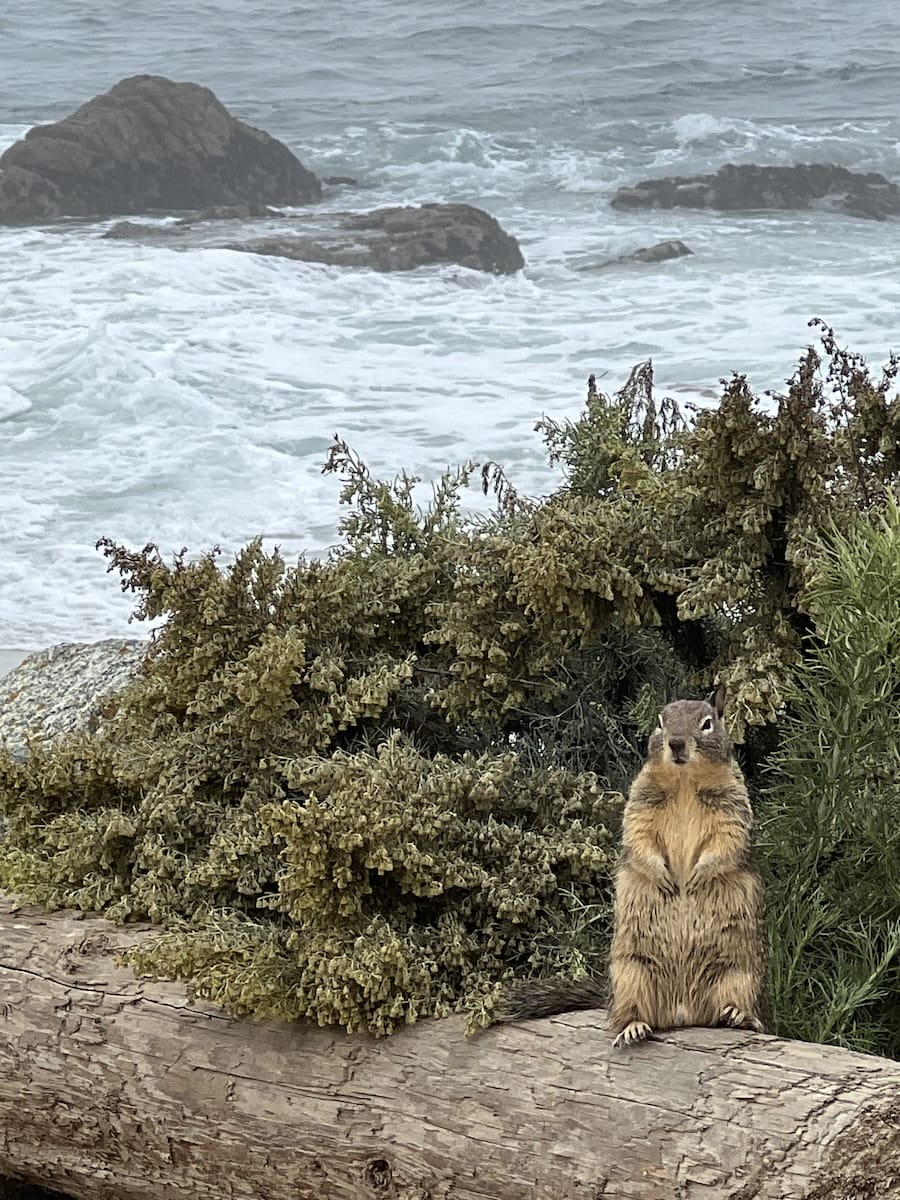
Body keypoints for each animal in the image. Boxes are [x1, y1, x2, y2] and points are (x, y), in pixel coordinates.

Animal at [498, 685, 767, 1047]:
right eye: (660, 721)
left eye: (707, 723)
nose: (676, 743)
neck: (685, 781)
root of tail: (683, 1012)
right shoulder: (640, 804)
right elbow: (639, 838)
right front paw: (664, 876)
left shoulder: (733, 808)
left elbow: (725, 843)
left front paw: (698, 876)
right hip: (631, 973)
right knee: (631, 1014)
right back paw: (633, 1027)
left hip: (739, 973)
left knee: (725, 1008)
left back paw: (739, 1016)